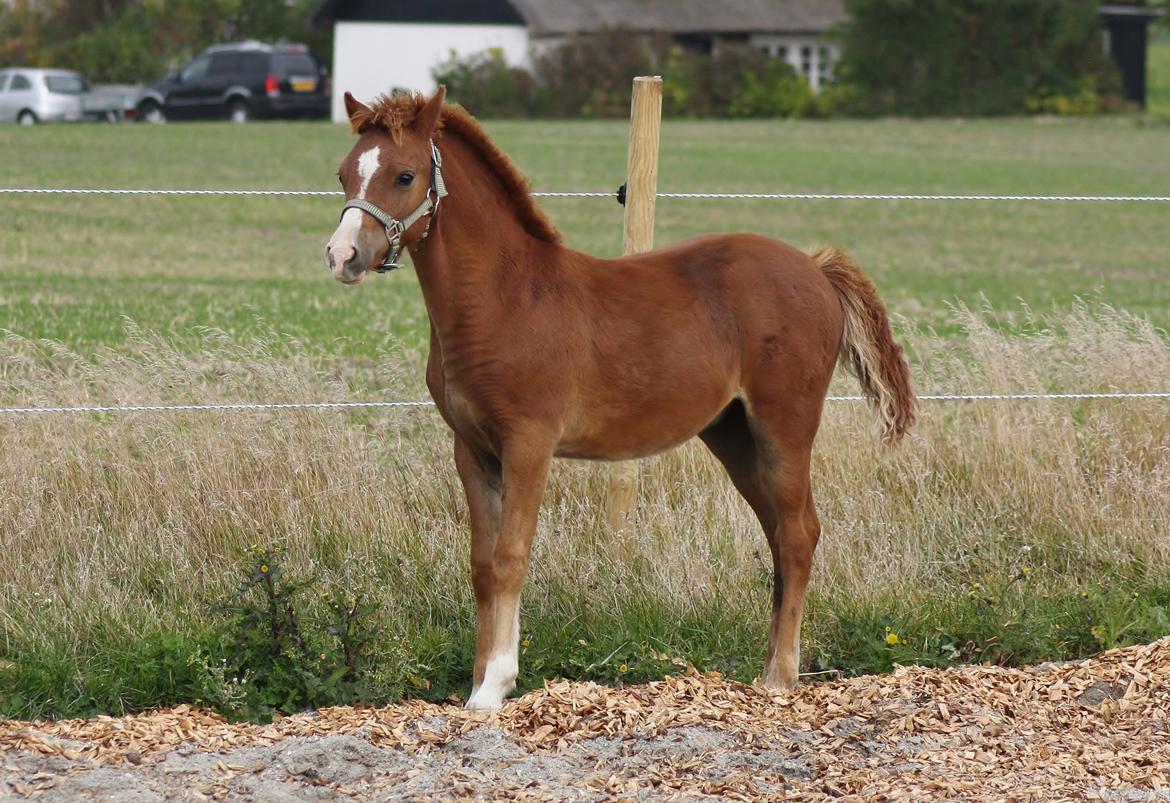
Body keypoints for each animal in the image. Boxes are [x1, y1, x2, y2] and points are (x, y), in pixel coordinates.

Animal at [327, 87, 912, 711]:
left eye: (404, 175)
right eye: (343, 173)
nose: (342, 255)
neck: (504, 299)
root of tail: (815, 268)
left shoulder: (529, 443)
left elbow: (511, 556)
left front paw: (495, 686)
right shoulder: (473, 449)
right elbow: (482, 565)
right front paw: (478, 682)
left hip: (785, 424)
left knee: (800, 533)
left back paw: (779, 677)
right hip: (733, 435)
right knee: (780, 533)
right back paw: (768, 669)